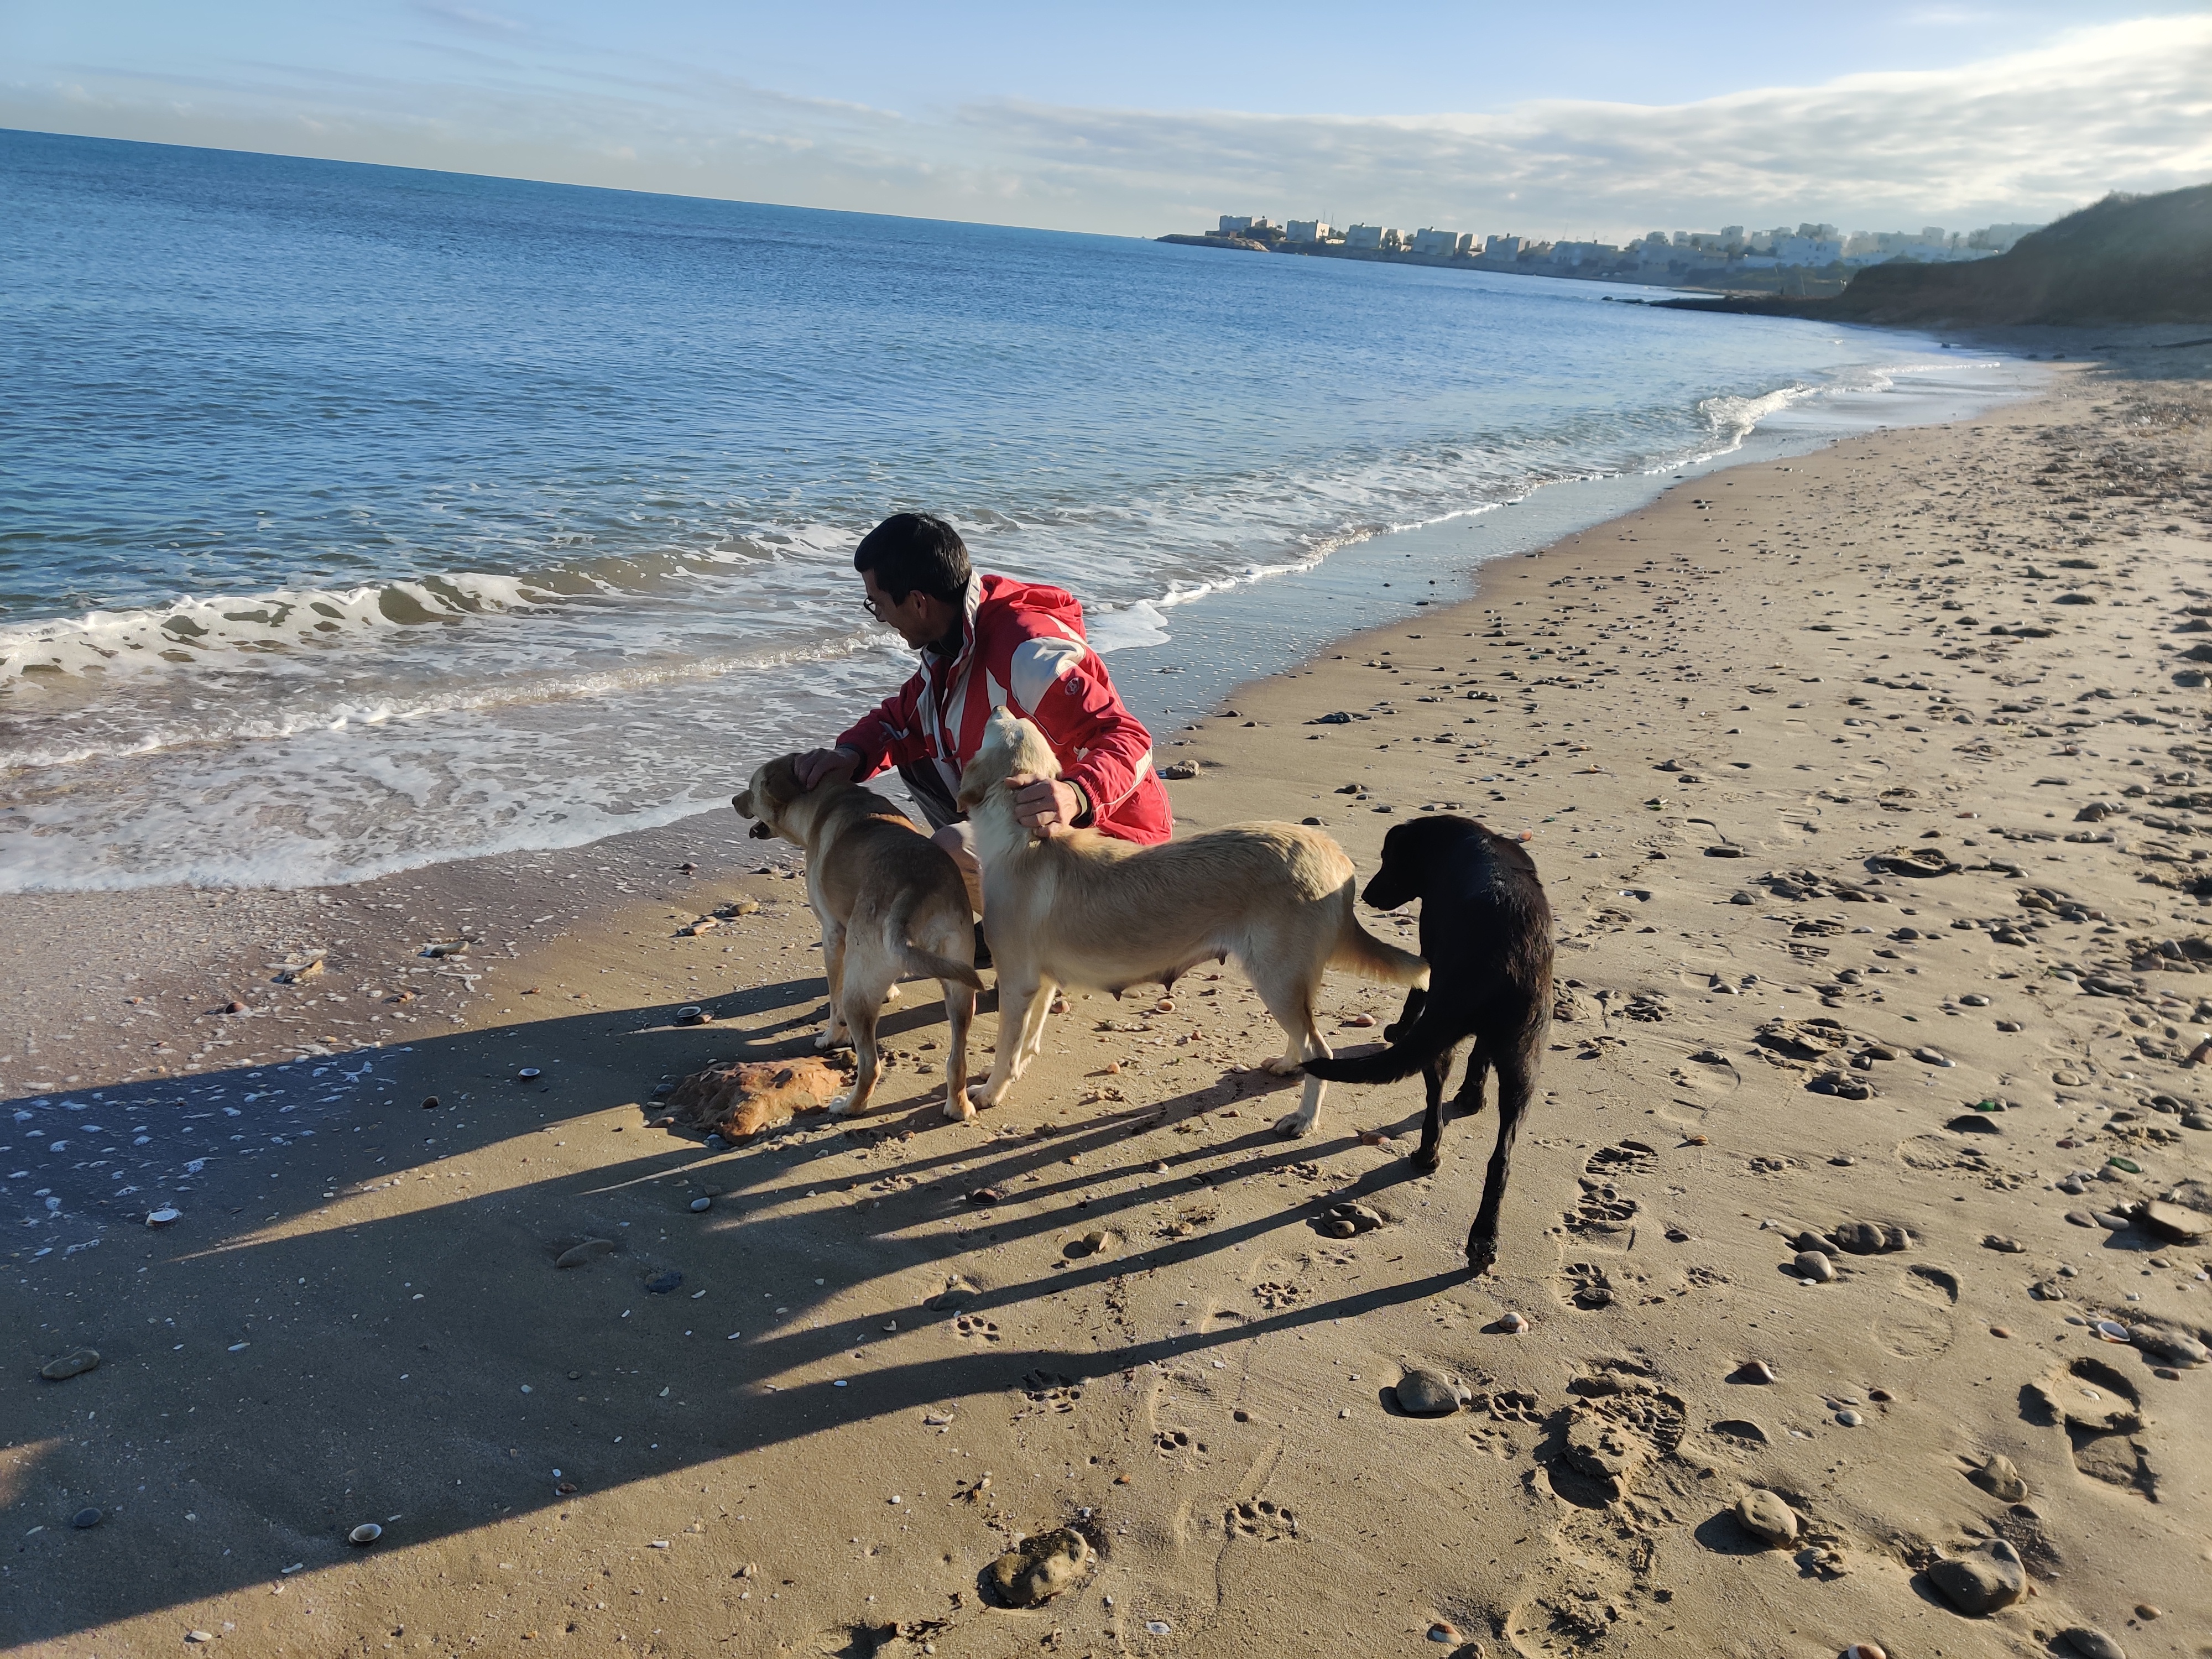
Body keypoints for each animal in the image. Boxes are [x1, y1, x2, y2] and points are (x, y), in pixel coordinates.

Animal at [733, 756, 982, 1122]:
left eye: (751, 789)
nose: (733, 801)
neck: (825, 799)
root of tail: (913, 889)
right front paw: (891, 991)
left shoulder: (833, 934)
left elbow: (833, 996)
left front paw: (828, 1036)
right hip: (961, 985)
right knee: (957, 1060)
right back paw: (959, 1107)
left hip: (859, 995)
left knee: (870, 1064)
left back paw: (850, 1106)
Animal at [954, 709, 1428, 1136]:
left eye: (999, 727)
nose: (998, 706)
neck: (1025, 840)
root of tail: (1334, 854)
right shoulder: (1042, 982)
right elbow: (1026, 1041)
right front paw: (1017, 1070)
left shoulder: (1017, 982)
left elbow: (1006, 1048)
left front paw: (990, 1092)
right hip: (1288, 981)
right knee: (1306, 1041)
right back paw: (1286, 1064)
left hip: (1274, 978)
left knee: (1320, 1047)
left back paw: (1304, 1119)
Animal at [1301, 814, 1552, 1275]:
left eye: (1389, 858)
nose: (1367, 895)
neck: (1468, 844)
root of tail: (1501, 956)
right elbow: (1480, 1056)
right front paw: (1471, 1097)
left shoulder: (1428, 953)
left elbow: (1413, 997)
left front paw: (1398, 1029)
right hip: (1524, 1060)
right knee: (1501, 1157)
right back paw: (1484, 1238)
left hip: (1440, 1036)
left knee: (1434, 1110)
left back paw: (1425, 1156)